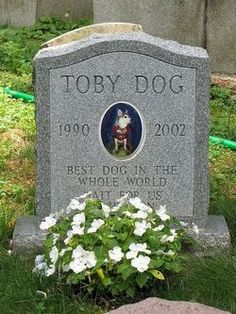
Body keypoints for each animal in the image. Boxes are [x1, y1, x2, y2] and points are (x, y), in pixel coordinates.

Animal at [35, 31, 208, 226]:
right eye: (124, 116)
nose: (131, 119)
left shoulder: (126, 138)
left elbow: (125, 144)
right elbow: (117, 145)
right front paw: (118, 149)